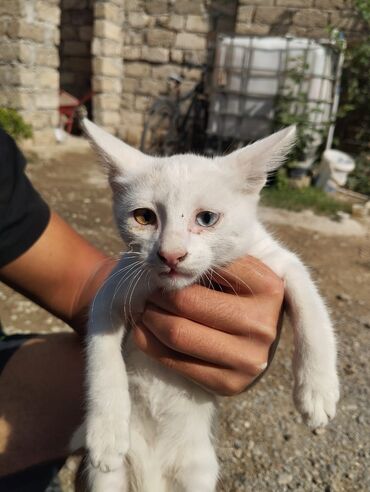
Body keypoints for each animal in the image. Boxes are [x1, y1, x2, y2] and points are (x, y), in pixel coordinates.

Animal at [71, 120, 338, 492]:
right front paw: (106, 432)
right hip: (109, 482)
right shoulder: (114, 289)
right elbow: (101, 360)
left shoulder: (276, 260)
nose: (171, 254)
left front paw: (317, 392)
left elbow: (313, 311)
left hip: (198, 472)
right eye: (144, 217)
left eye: (207, 218)